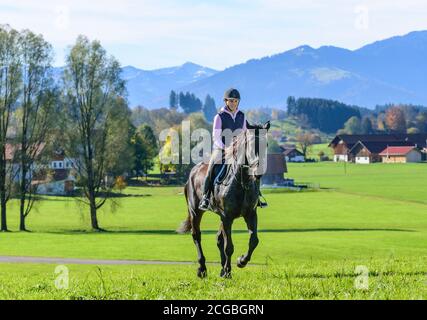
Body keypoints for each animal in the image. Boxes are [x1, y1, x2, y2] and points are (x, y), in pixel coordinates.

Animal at [177, 121, 270, 278]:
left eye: (266, 144)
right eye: (251, 144)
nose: (258, 172)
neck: (242, 182)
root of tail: (193, 172)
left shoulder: (250, 214)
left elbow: (254, 240)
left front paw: (241, 261)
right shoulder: (227, 217)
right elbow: (229, 247)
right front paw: (228, 272)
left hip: (220, 216)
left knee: (219, 238)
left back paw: (221, 268)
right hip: (195, 211)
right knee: (197, 236)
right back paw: (202, 269)